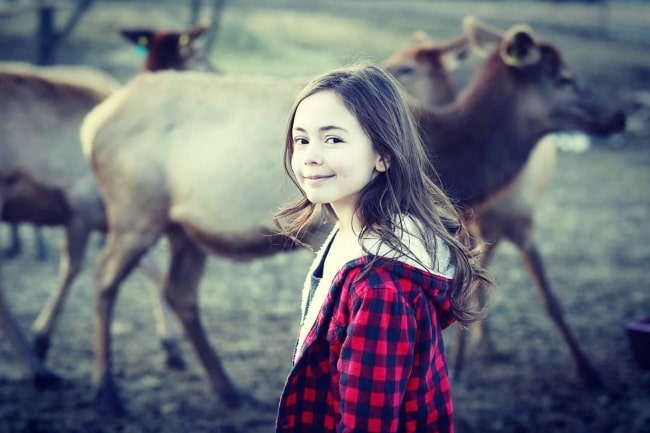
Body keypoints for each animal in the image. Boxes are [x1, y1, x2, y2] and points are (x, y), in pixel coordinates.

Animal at [0, 24, 213, 384]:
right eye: (200, 57)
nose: (221, 74)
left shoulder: (117, 220)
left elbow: (150, 269)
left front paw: (171, 348)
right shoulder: (84, 205)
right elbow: (73, 268)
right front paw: (41, 338)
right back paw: (36, 368)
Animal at [81, 22, 624, 414]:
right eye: (565, 79)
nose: (619, 115)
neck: (453, 155)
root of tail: (93, 125)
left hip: (183, 226)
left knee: (180, 291)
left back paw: (228, 390)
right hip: (134, 208)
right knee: (105, 278)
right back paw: (107, 392)